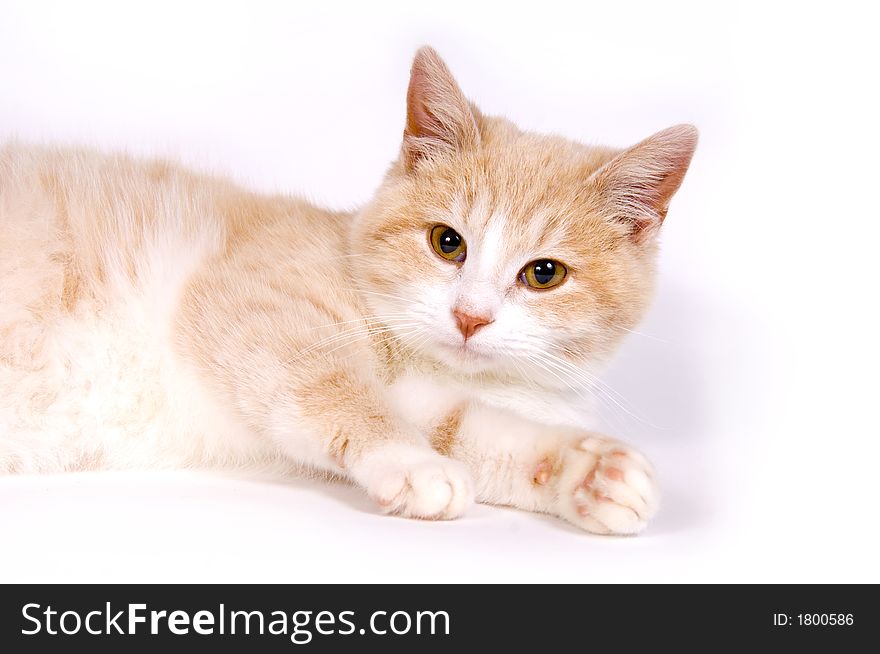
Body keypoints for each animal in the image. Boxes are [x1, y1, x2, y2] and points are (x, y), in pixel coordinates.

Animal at [1, 47, 696, 540]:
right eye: (447, 242)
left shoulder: (425, 396)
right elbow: (334, 387)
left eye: (544, 273)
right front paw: (413, 464)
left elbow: (468, 428)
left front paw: (590, 472)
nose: (469, 317)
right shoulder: (254, 302)